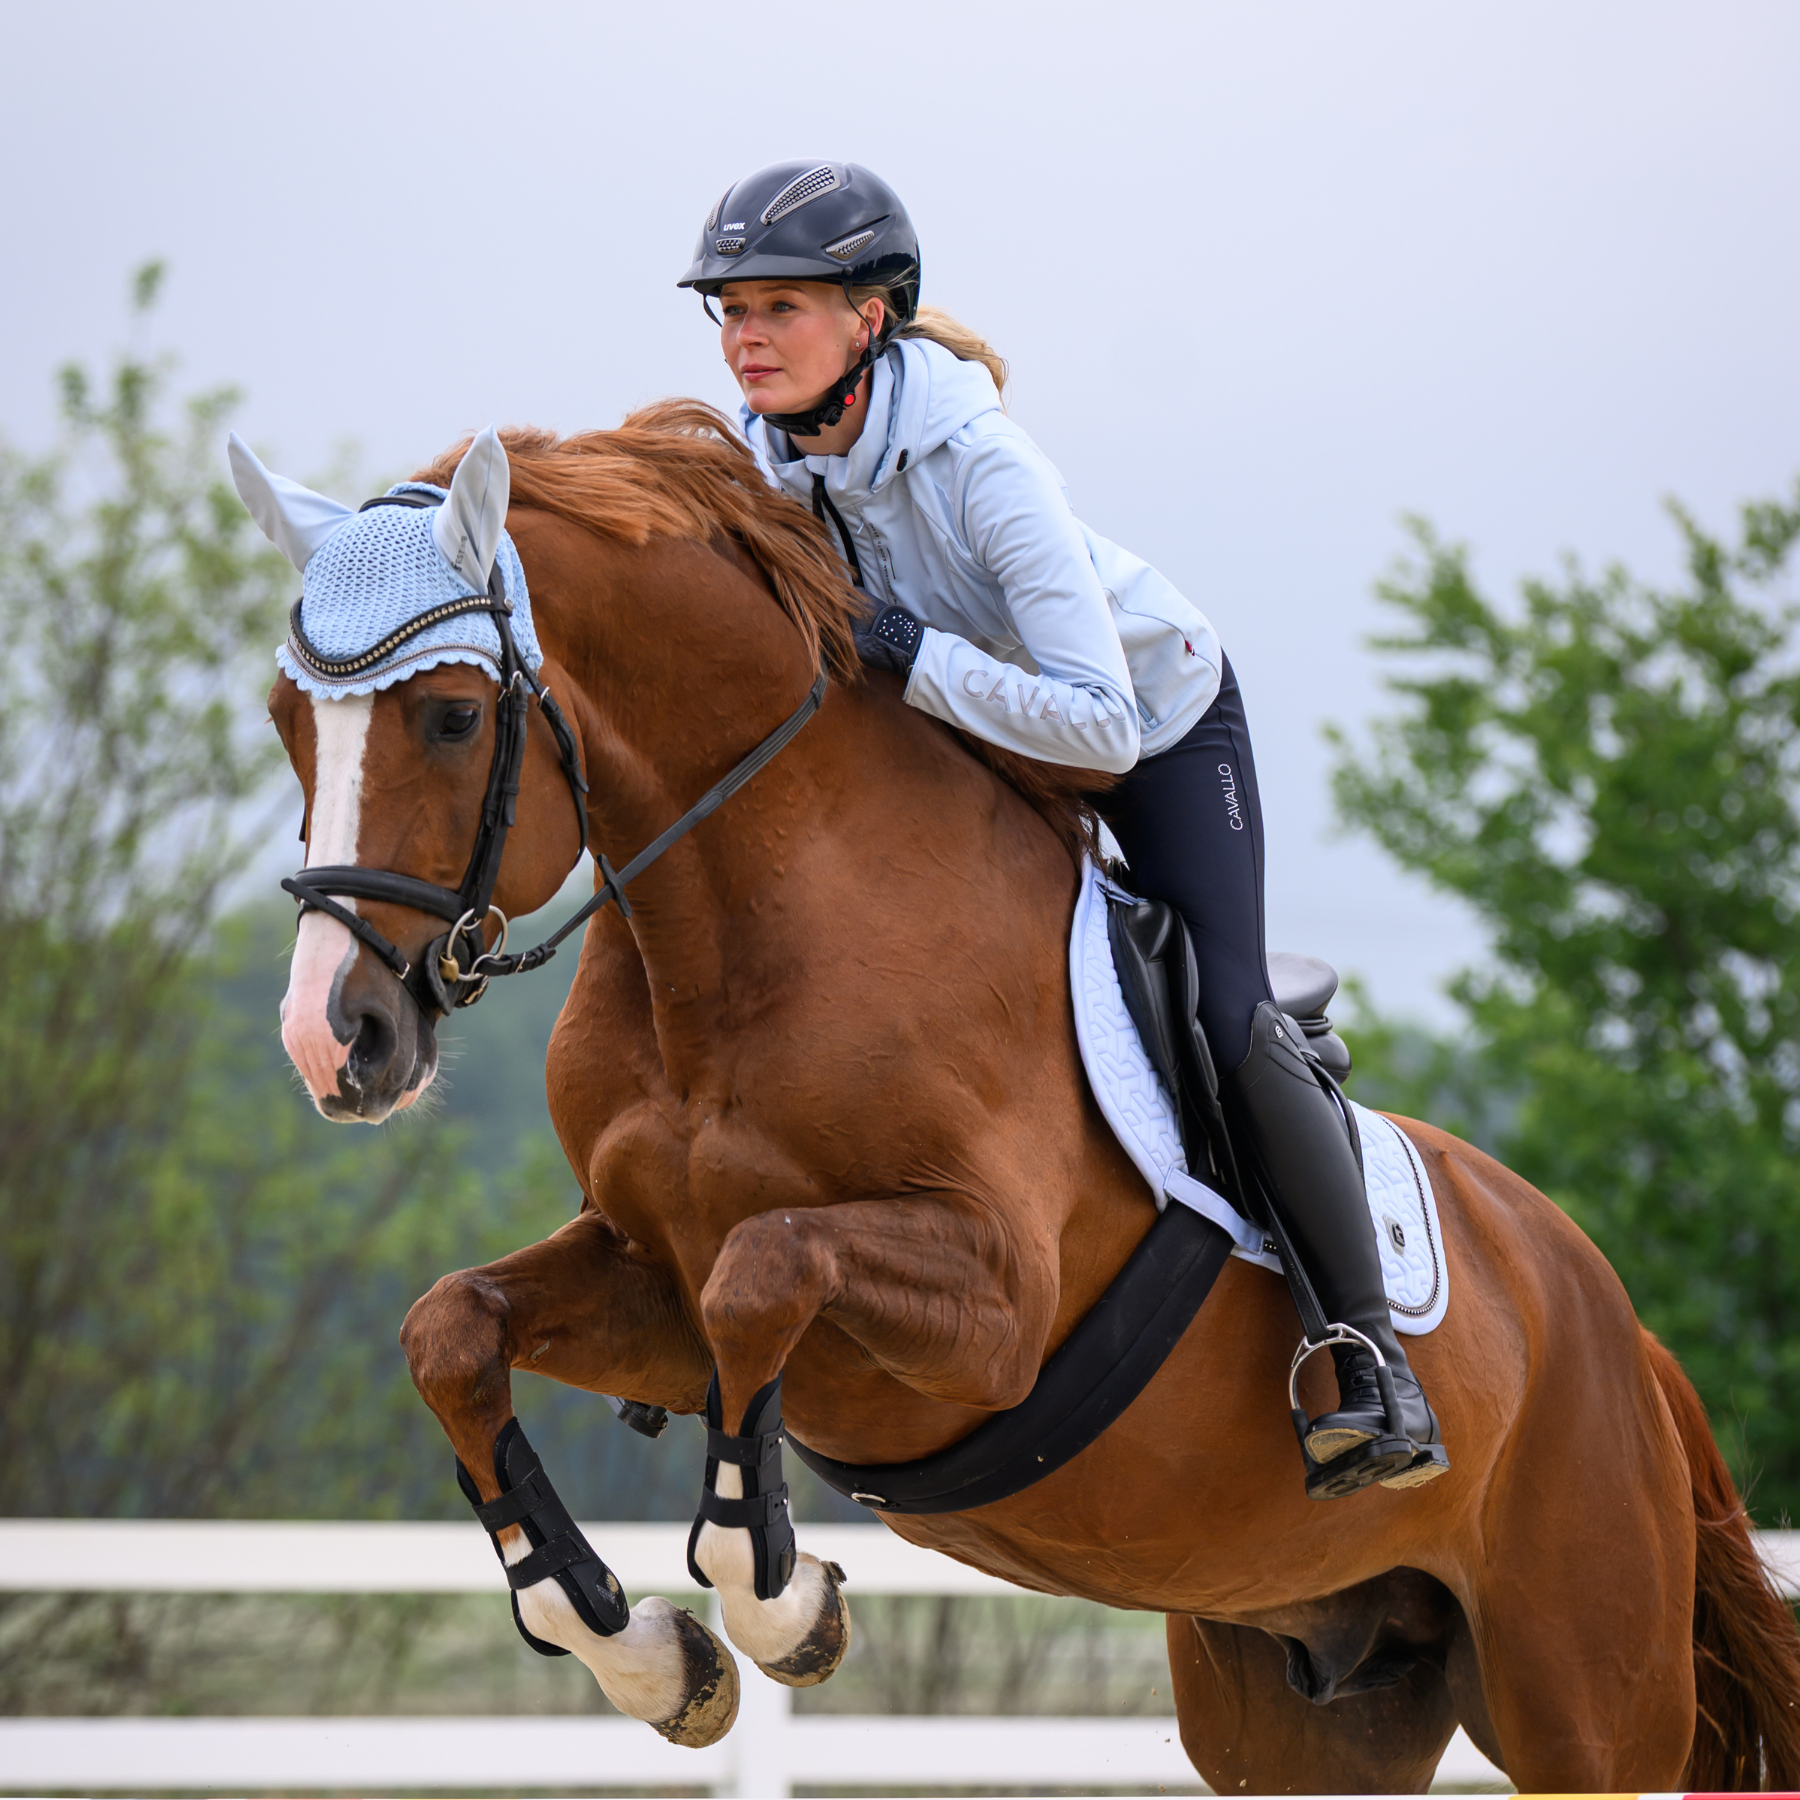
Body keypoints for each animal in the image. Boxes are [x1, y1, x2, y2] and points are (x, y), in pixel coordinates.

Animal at [263, 402, 1800, 1792]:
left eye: (453, 716)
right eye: (287, 720)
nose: (333, 1039)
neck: (745, 935)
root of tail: (1622, 1330)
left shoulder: (991, 1308)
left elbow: (767, 1273)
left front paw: (784, 1605)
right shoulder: (652, 1278)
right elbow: (452, 1329)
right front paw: (645, 1652)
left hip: (1587, 1704)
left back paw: (1376, 1403)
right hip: (1308, 1703)